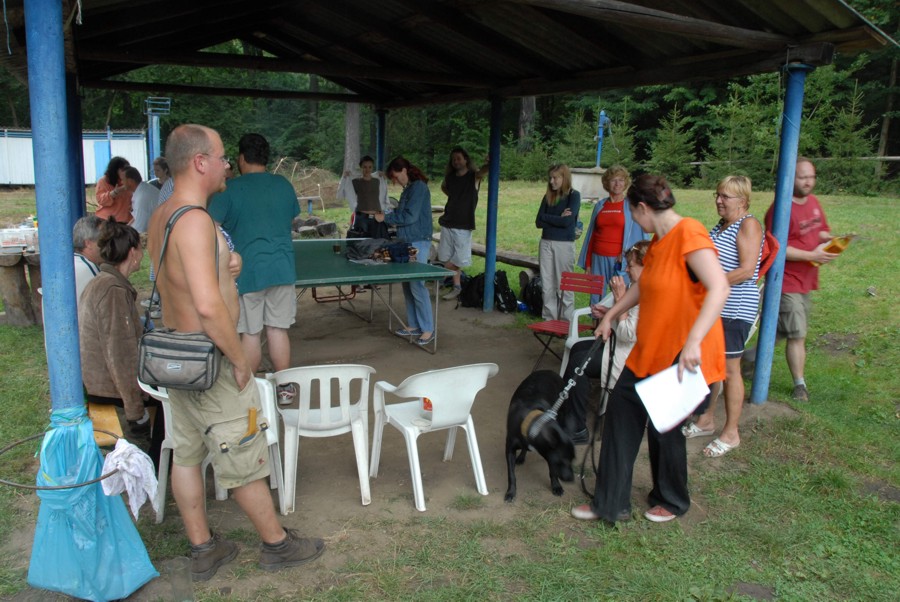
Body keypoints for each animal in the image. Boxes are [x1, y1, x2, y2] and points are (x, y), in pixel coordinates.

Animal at [502, 368, 572, 500]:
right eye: (562, 460)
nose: (570, 479)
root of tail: (549, 370)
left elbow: (552, 471)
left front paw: (556, 486)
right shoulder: (510, 449)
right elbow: (511, 475)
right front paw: (511, 492)